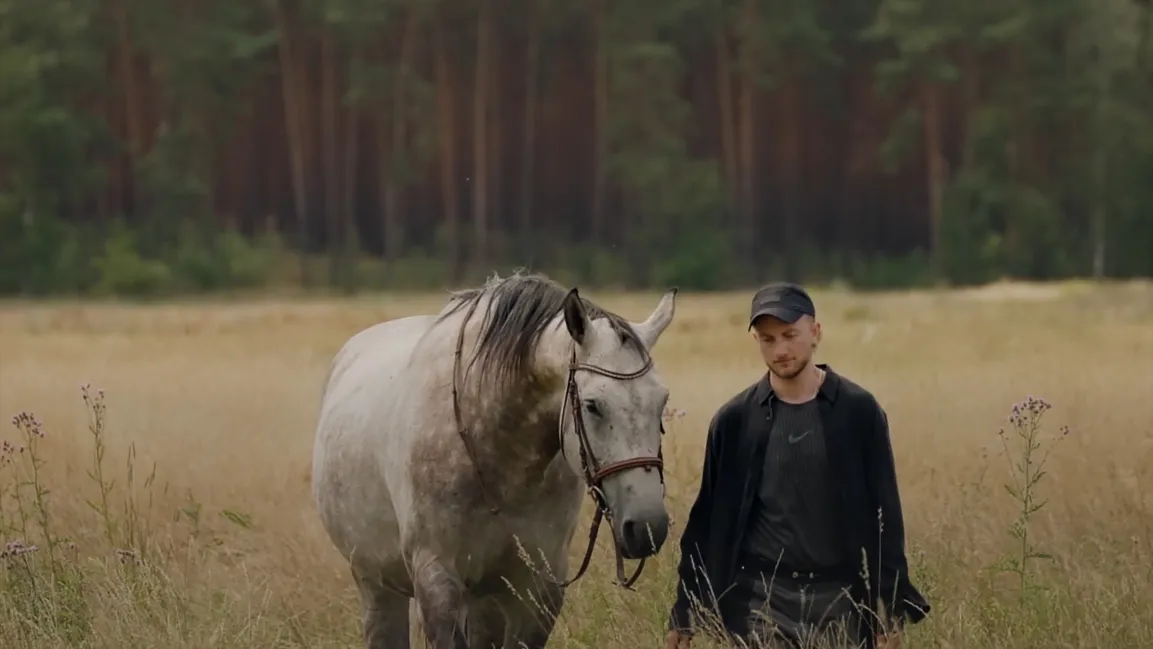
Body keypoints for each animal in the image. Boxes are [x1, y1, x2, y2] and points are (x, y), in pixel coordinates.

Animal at [311, 271, 679, 649]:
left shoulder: (539, 586)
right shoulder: (436, 579)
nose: (647, 527)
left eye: (662, 401)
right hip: (377, 585)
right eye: (592, 405)